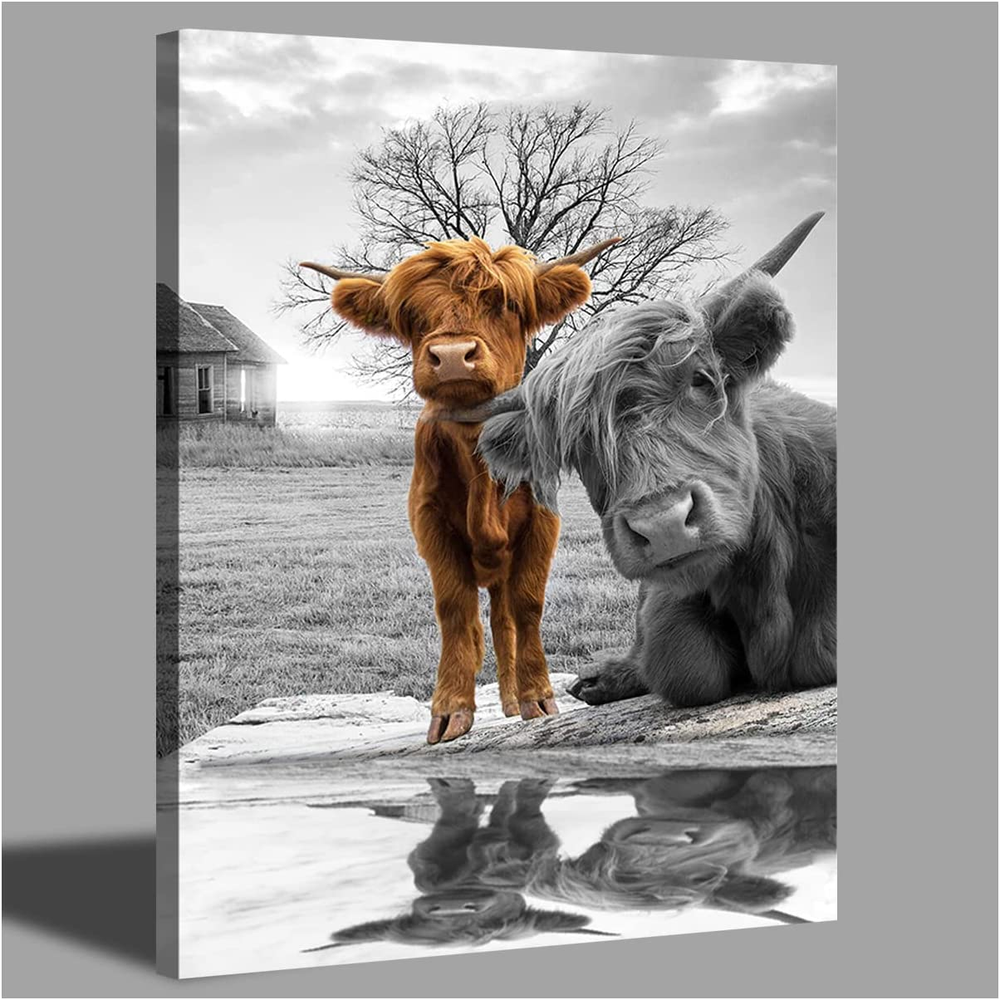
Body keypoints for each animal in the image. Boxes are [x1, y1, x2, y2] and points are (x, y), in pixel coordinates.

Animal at [299, 236, 618, 743]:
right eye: (410, 314)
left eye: (506, 303)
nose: (451, 356)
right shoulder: (430, 526)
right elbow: (453, 611)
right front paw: (451, 709)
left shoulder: (543, 523)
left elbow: (528, 607)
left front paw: (538, 698)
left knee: (504, 620)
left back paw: (512, 701)